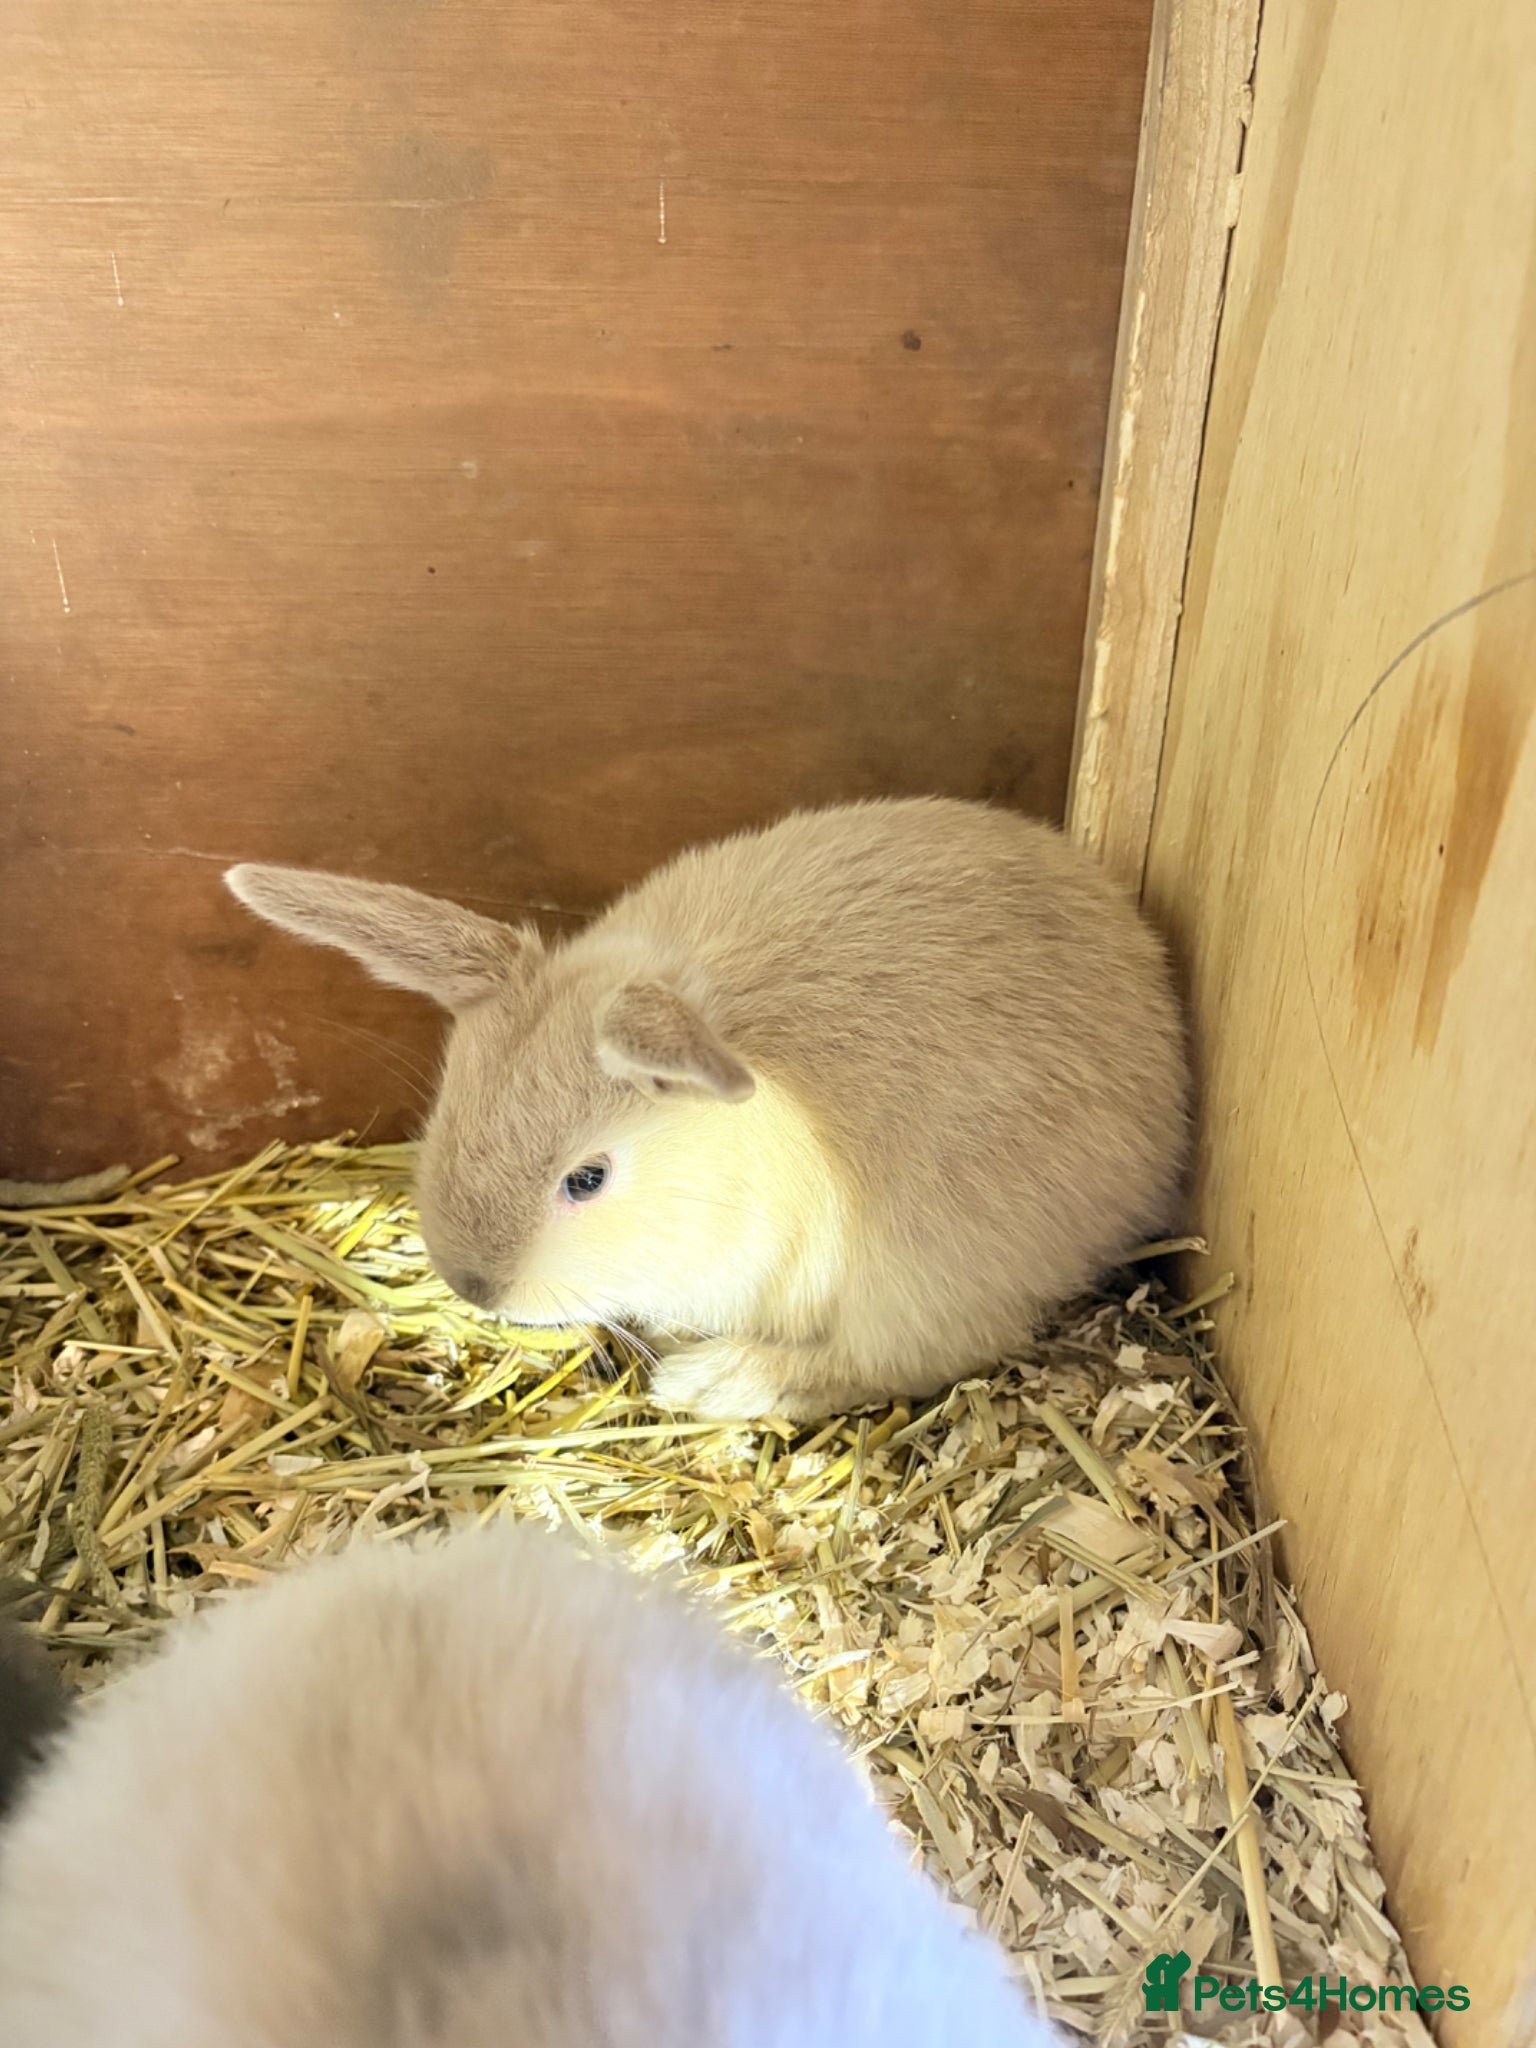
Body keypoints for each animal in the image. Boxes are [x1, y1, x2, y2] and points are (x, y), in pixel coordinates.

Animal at [226, 797, 1190, 1420]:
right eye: (449, 1099)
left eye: (587, 1179)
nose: (474, 1287)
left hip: (932, 1276)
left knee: (898, 1362)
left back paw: (707, 1384)